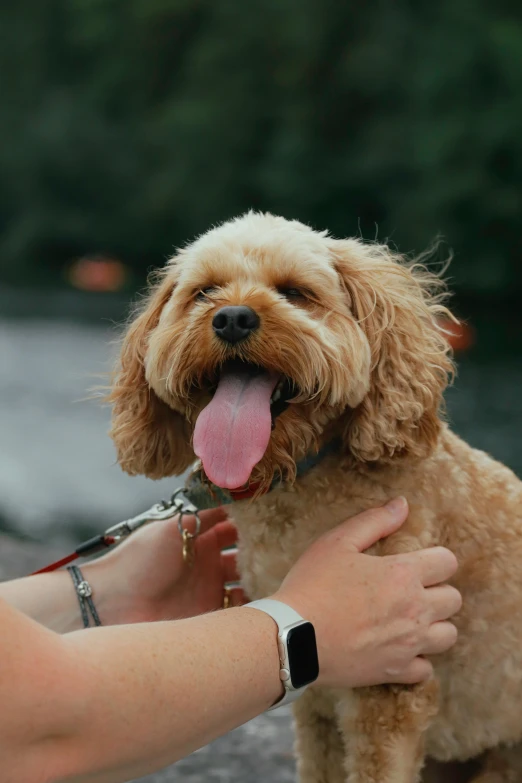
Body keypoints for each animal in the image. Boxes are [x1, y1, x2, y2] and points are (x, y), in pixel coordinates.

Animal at [107, 213, 520, 783]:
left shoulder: (389, 694)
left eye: (295, 292)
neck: (299, 481)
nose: (232, 318)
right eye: (204, 291)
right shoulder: (319, 700)